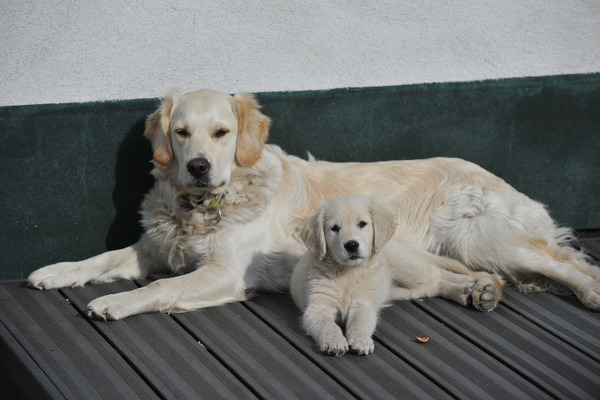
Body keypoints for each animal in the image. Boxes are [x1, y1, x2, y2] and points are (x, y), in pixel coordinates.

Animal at [27, 89, 600, 320]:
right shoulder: (155, 245)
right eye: (182, 133)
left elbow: (163, 287)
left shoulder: (224, 272)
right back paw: (477, 291)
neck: (204, 204)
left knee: (568, 265)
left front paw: (115, 302)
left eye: (222, 132)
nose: (199, 167)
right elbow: (102, 258)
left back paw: (587, 292)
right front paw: (55, 272)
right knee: (455, 277)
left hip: (480, 233)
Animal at [290, 195, 478, 354]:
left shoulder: (363, 305)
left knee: (436, 272)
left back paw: (468, 281)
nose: (351, 245)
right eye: (334, 228)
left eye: (362, 224)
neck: (347, 273)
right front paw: (334, 341)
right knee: (432, 286)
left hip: (410, 269)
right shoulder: (317, 308)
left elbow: (360, 324)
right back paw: (461, 292)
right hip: (401, 290)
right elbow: (328, 325)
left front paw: (361, 341)